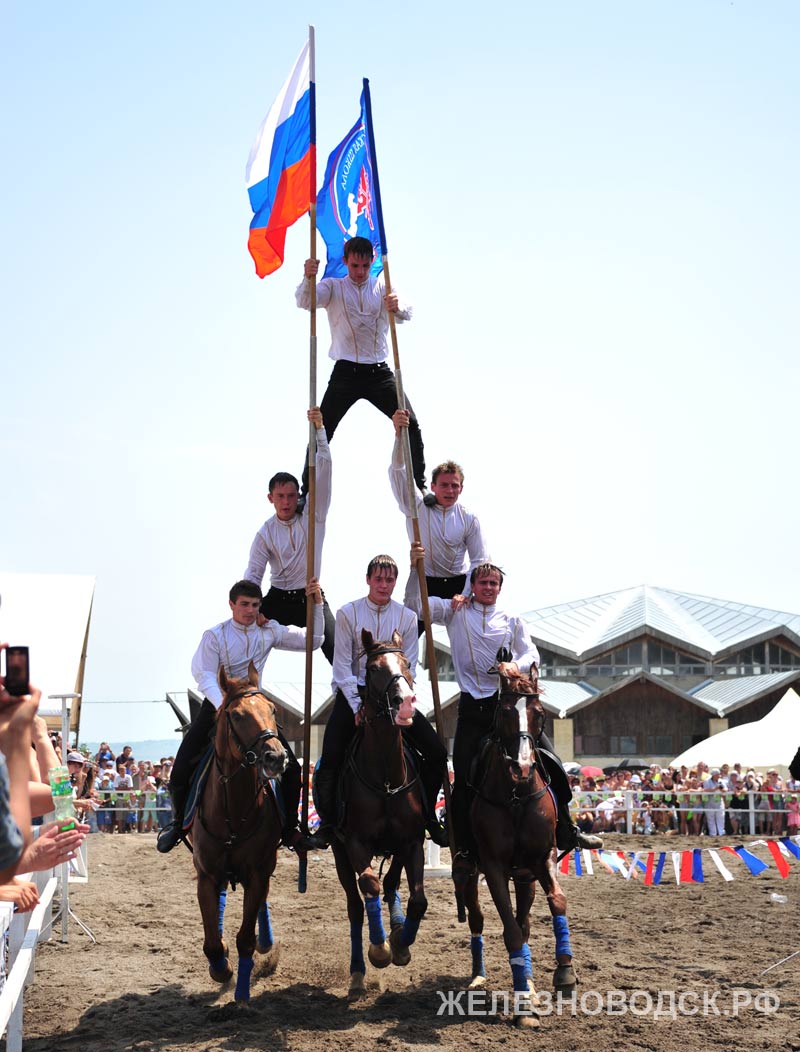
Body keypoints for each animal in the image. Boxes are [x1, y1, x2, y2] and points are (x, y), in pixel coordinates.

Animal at [190, 664, 284, 1001]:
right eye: (239, 715)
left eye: (272, 710)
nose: (276, 757)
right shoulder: (206, 874)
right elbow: (211, 942)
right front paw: (221, 967)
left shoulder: (257, 872)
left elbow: (246, 938)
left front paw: (241, 993)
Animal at [330, 626, 431, 997]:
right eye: (373, 669)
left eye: (407, 664)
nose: (406, 704)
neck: (386, 778)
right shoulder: (354, 844)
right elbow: (369, 887)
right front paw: (380, 949)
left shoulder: (412, 842)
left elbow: (417, 899)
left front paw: (401, 942)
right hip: (339, 853)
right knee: (356, 906)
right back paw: (359, 973)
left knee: (390, 884)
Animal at [456, 656, 576, 1026]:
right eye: (507, 711)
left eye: (538, 713)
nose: (522, 766)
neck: (515, 795)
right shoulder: (494, 867)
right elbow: (508, 930)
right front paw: (523, 1005)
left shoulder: (543, 858)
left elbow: (557, 901)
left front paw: (564, 972)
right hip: (470, 876)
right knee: (479, 920)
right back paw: (480, 977)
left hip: (524, 878)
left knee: (524, 924)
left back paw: (533, 983)